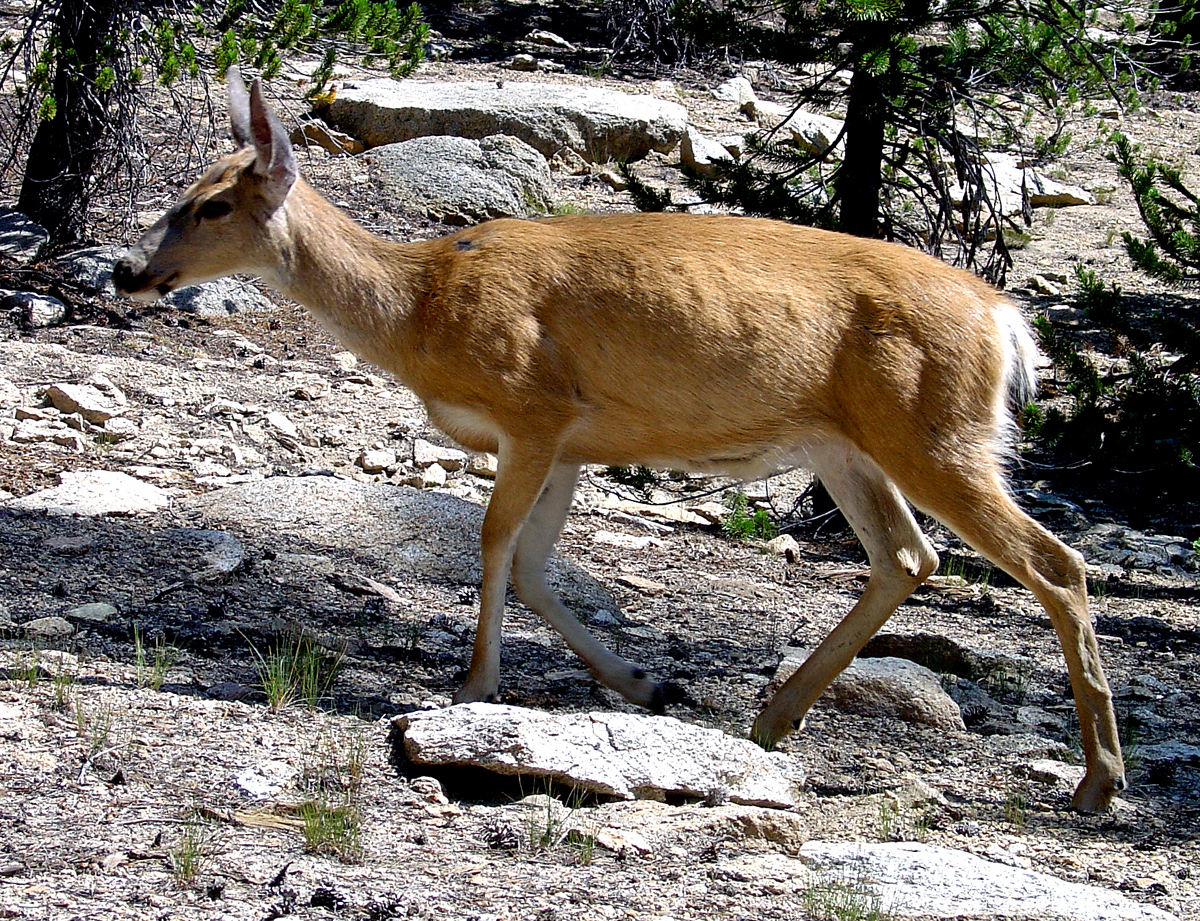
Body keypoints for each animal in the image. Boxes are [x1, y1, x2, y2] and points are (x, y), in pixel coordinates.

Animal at [112, 69, 1126, 813]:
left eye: (211, 206)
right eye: (183, 191)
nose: (125, 269)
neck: (420, 307)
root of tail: (1005, 319)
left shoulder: (532, 407)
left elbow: (492, 543)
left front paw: (474, 685)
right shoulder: (569, 441)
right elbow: (530, 564)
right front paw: (643, 682)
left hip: (936, 431)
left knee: (1056, 563)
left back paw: (1098, 783)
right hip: (848, 444)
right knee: (909, 556)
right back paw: (771, 719)